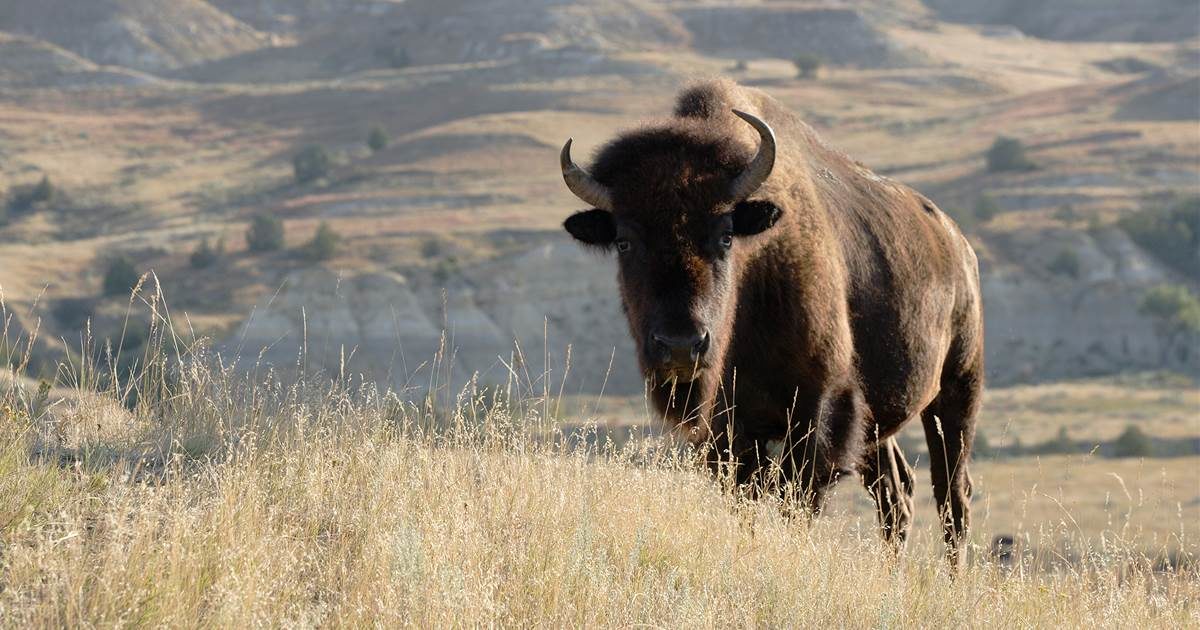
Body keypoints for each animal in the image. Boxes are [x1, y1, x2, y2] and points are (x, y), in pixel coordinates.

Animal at [559, 79, 984, 565]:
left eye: (726, 235)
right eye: (625, 242)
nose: (681, 346)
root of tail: (958, 244)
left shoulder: (818, 413)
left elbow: (794, 502)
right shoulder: (730, 433)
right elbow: (748, 502)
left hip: (958, 390)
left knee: (952, 494)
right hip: (881, 421)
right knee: (897, 494)